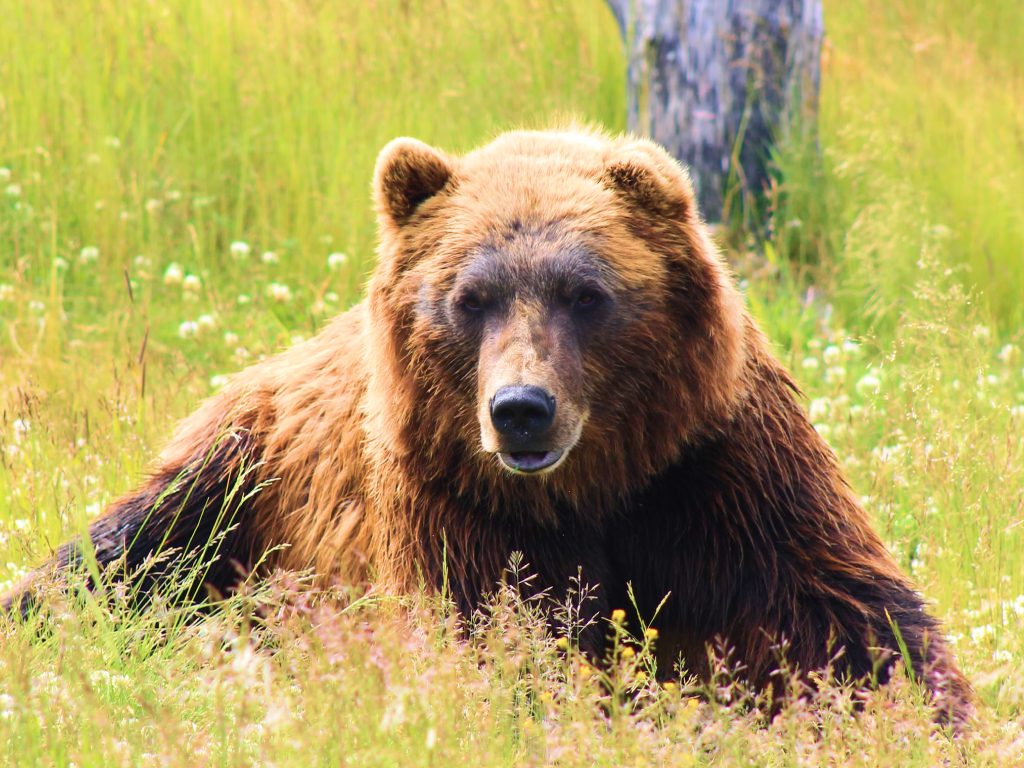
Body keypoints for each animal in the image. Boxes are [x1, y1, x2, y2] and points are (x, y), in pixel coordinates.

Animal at [5, 128, 972, 727]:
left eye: (586, 292)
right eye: (470, 297)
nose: (520, 409)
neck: (593, 485)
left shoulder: (712, 470)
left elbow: (840, 617)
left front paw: (926, 713)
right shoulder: (456, 501)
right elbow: (498, 645)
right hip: (237, 479)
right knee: (121, 558)